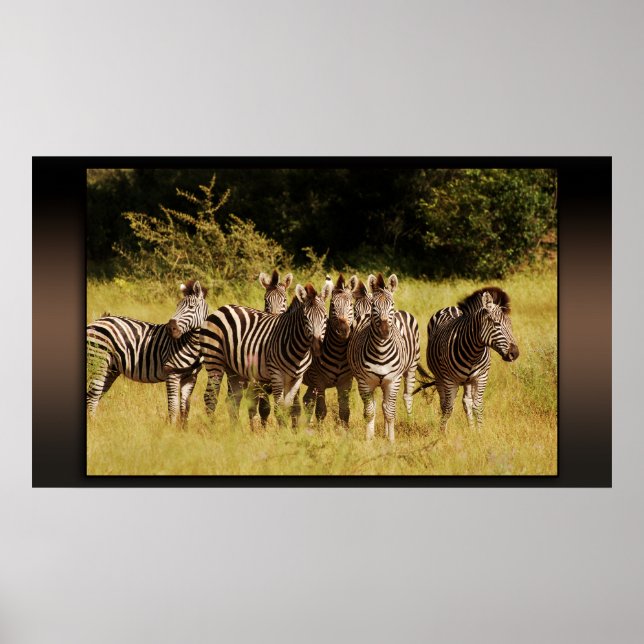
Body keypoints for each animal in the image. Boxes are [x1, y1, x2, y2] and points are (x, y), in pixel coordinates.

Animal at [86, 280, 209, 423]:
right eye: (177, 306)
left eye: (191, 307)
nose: (170, 328)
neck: (191, 343)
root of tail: (97, 321)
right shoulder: (171, 373)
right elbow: (173, 407)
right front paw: (172, 427)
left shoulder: (191, 377)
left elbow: (185, 409)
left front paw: (183, 428)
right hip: (98, 362)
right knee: (92, 397)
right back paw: (94, 424)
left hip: (110, 369)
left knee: (94, 396)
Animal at [200, 282, 328, 426]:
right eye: (305, 318)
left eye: (325, 317)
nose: (317, 347)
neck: (299, 349)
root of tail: (221, 309)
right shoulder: (276, 374)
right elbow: (279, 408)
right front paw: (282, 430)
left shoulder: (297, 378)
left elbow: (288, 407)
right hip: (214, 359)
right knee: (210, 397)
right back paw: (212, 428)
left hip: (234, 370)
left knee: (233, 401)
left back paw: (236, 430)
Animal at [301, 274, 355, 425]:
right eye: (332, 305)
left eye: (351, 304)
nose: (342, 330)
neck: (339, 352)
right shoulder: (319, 382)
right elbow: (321, 411)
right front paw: (320, 431)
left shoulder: (346, 382)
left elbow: (345, 412)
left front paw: (345, 431)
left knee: (307, 400)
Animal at [347, 273, 420, 442]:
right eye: (374, 306)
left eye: (391, 304)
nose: (385, 332)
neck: (381, 351)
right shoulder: (364, 382)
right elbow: (369, 412)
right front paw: (369, 439)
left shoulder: (393, 381)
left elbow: (390, 412)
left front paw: (391, 440)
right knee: (379, 405)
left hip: (411, 368)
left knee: (405, 397)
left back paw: (408, 424)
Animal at [416, 287, 519, 431]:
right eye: (496, 324)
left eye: (510, 325)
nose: (515, 353)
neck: (473, 354)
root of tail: (451, 307)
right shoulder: (449, 380)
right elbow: (448, 408)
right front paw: (442, 432)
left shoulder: (481, 377)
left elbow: (478, 406)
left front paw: (479, 431)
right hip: (439, 378)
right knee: (444, 403)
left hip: (468, 381)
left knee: (467, 402)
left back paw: (471, 429)